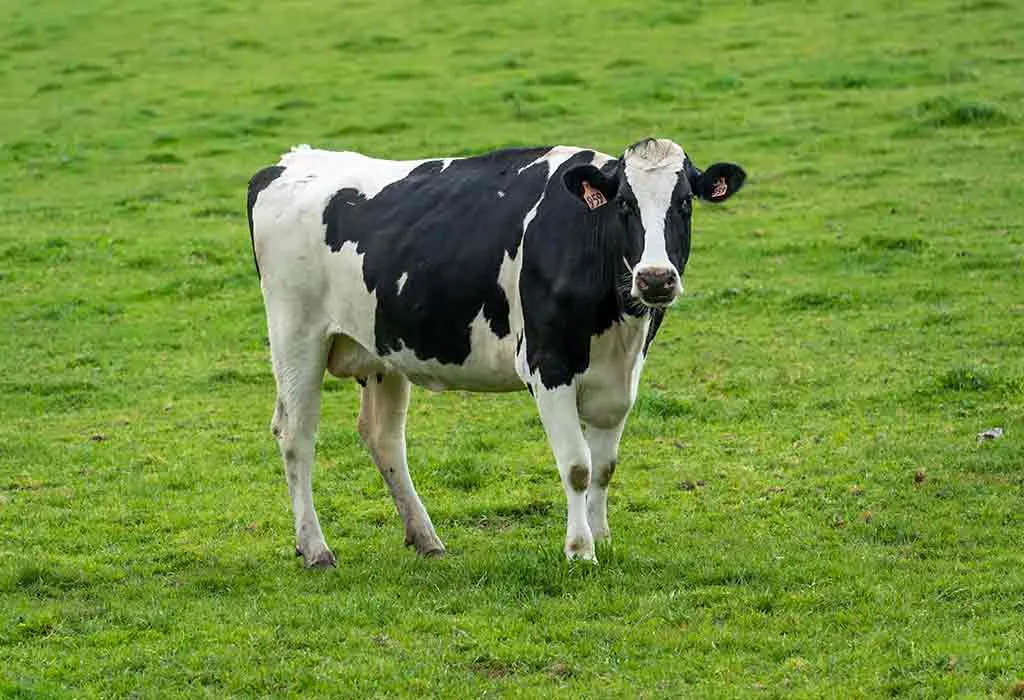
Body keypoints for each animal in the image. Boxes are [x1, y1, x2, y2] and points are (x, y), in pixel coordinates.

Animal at [247, 138, 745, 567]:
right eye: (624, 203)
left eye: (684, 203)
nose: (655, 278)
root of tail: (290, 160)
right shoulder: (548, 366)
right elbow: (577, 466)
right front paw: (580, 550)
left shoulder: (621, 376)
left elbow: (604, 467)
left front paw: (602, 537)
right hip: (297, 334)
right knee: (296, 435)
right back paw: (315, 548)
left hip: (381, 350)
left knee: (382, 436)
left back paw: (425, 538)